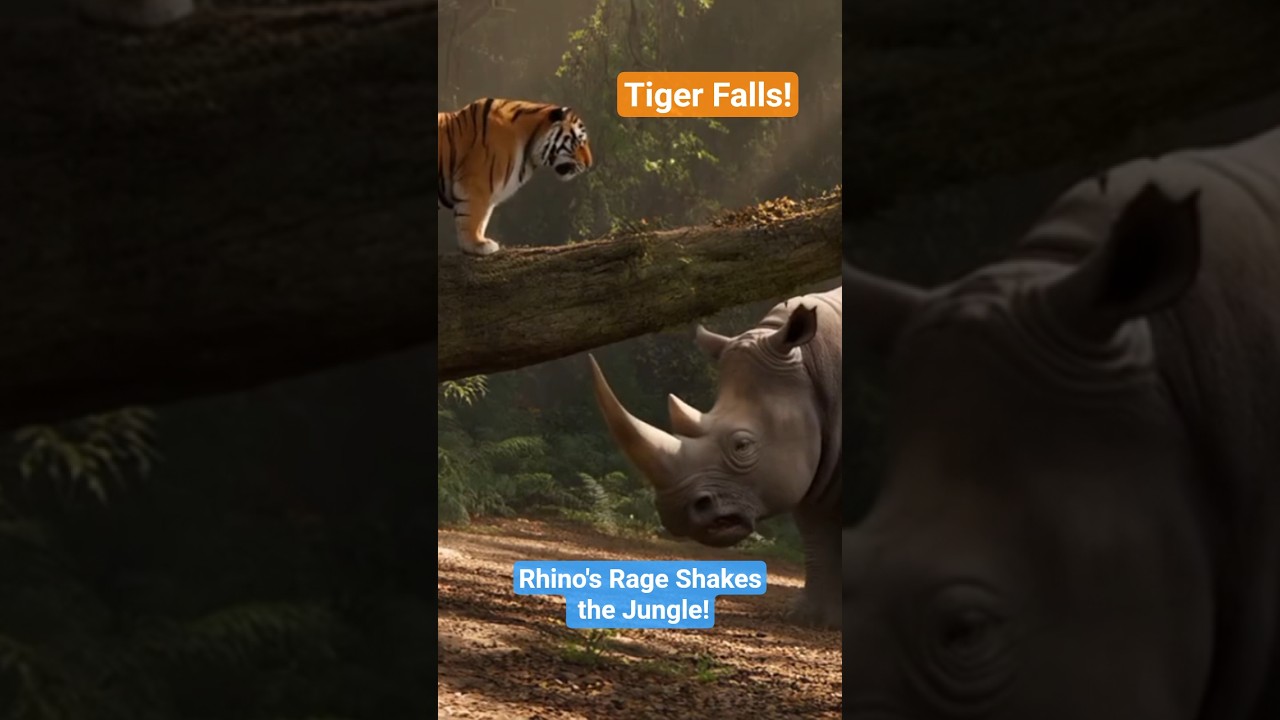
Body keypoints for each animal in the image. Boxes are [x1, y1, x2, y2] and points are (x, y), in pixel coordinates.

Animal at [437, 98, 594, 256]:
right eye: (579, 142)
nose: (589, 164)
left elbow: (482, 219)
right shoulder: (476, 185)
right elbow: (473, 217)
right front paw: (476, 244)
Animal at [589, 287, 843, 628]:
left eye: (742, 446)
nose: (677, 512)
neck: (813, 365)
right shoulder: (817, 467)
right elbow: (817, 533)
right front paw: (809, 619)